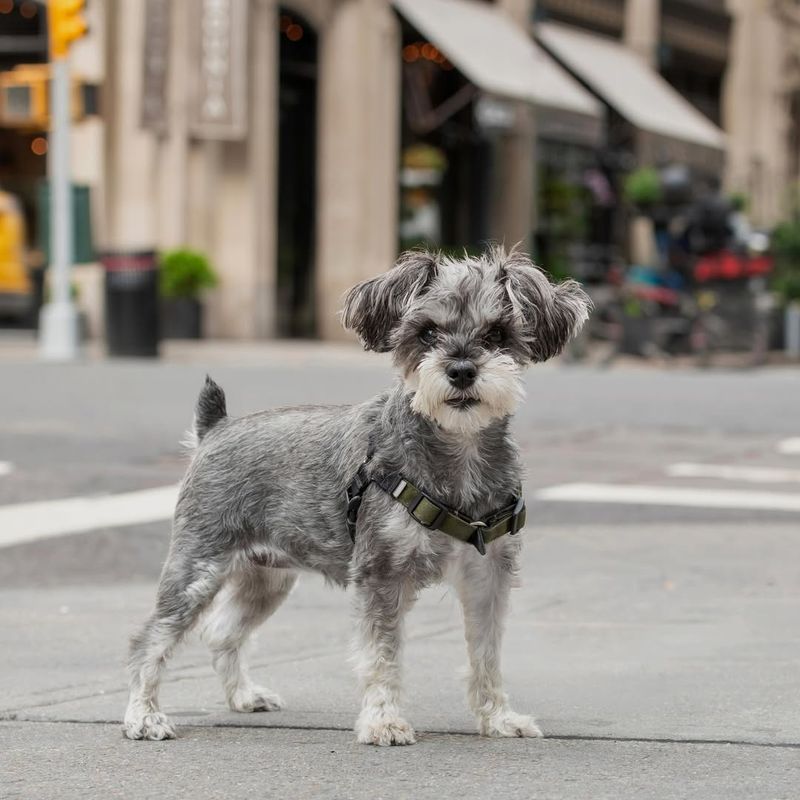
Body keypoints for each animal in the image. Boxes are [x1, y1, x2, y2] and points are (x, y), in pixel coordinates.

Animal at [122, 248, 592, 744]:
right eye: (426, 332)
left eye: (497, 333)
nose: (462, 371)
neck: (459, 454)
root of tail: (214, 429)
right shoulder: (381, 575)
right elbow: (381, 654)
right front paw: (384, 720)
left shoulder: (488, 577)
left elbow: (486, 654)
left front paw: (498, 718)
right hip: (197, 569)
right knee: (150, 639)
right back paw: (144, 716)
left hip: (266, 579)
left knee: (221, 631)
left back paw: (243, 696)